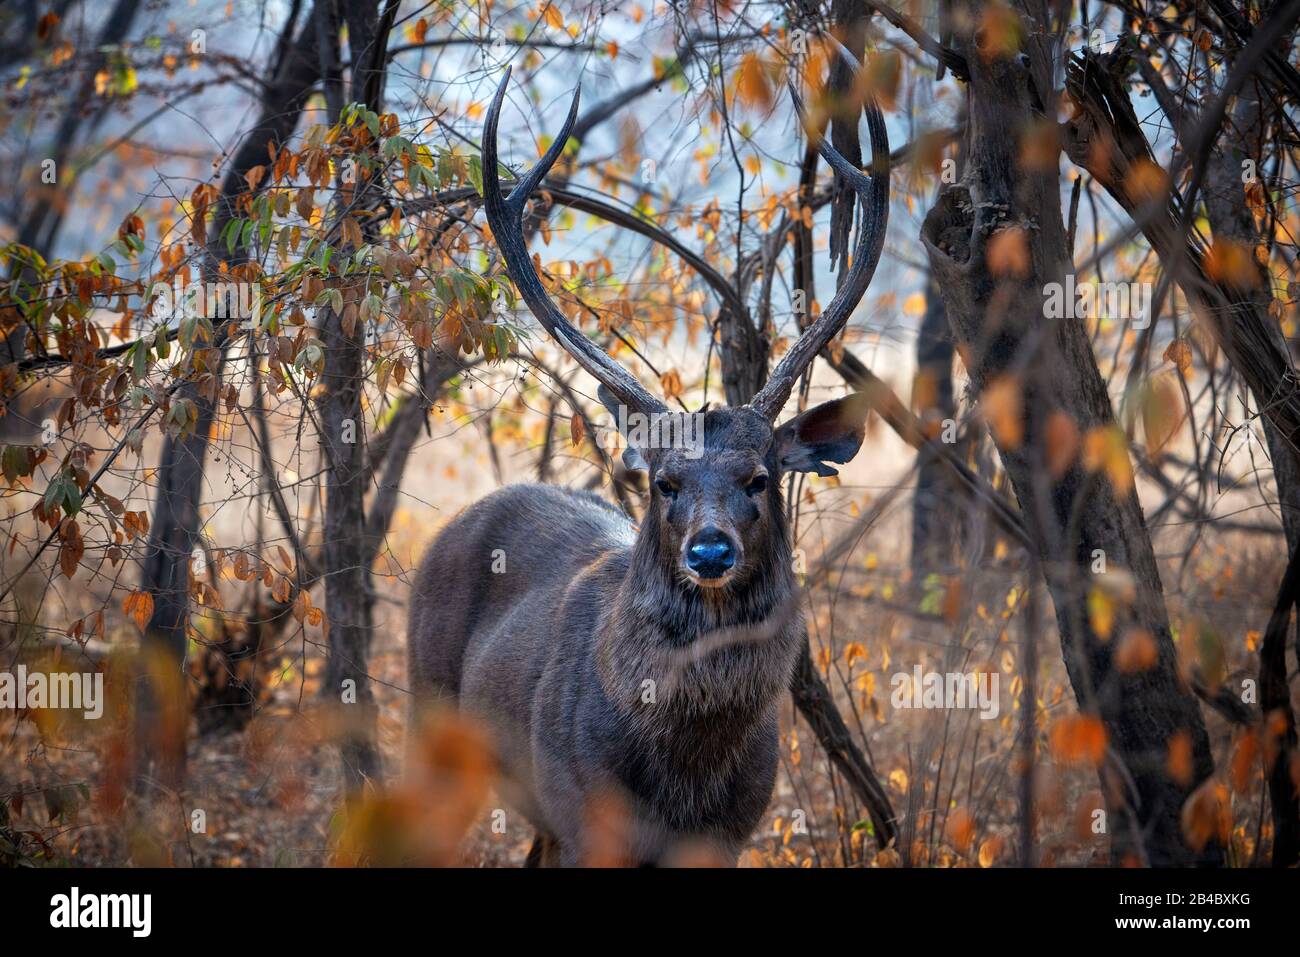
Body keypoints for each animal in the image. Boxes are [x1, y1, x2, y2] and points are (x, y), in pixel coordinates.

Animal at [410, 59, 889, 868]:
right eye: (665, 482)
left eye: (759, 478)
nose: (710, 550)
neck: (683, 771)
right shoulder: (585, 815)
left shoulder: (729, 832)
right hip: (435, 723)